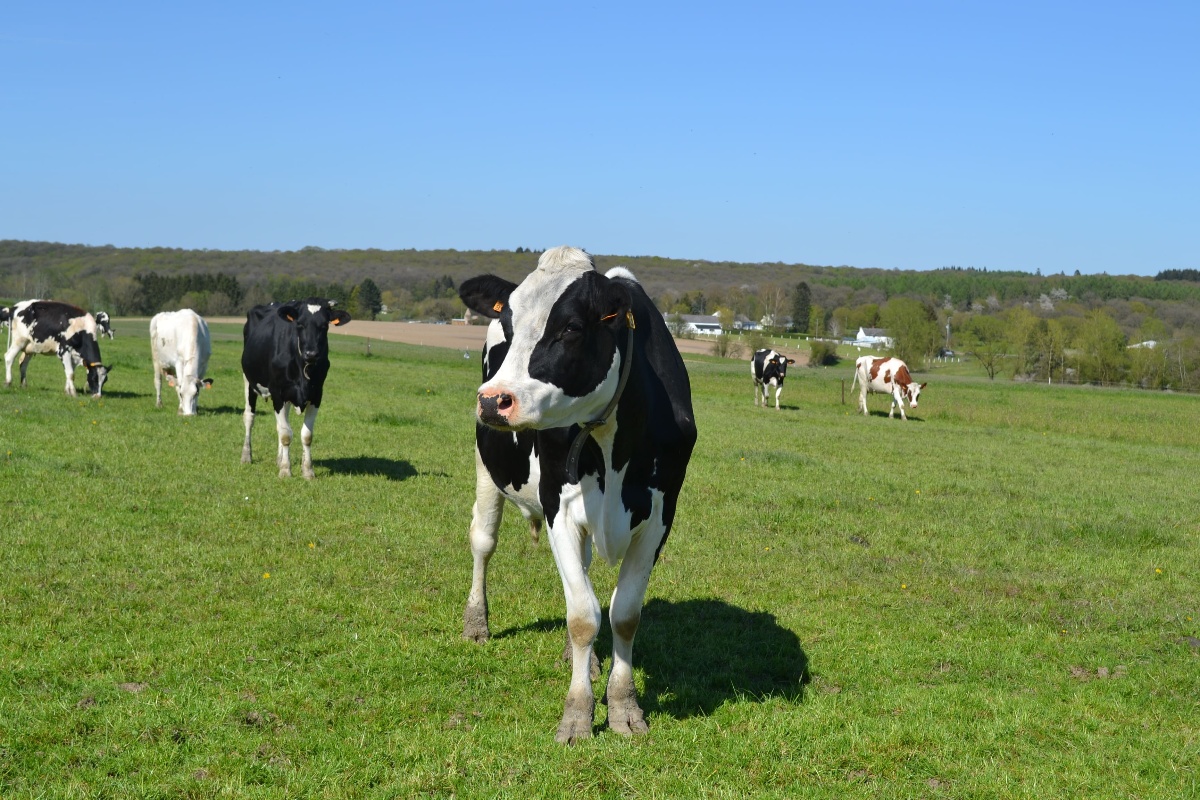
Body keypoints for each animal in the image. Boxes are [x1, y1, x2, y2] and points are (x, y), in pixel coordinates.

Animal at [240, 298, 350, 479]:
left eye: (324, 326)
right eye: (299, 324)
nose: (311, 354)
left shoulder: (316, 395)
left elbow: (306, 435)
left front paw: (307, 471)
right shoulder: (278, 394)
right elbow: (286, 434)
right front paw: (285, 470)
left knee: (280, 425)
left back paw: (279, 459)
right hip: (248, 380)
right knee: (249, 417)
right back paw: (246, 456)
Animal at [459, 246, 697, 744]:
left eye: (570, 327)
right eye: (508, 323)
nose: (493, 400)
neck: (611, 441)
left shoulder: (660, 515)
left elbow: (623, 613)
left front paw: (624, 707)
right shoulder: (558, 508)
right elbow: (583, 616)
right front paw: (577, 714)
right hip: (486, 468)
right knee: (483, 542)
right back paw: (476, 624)